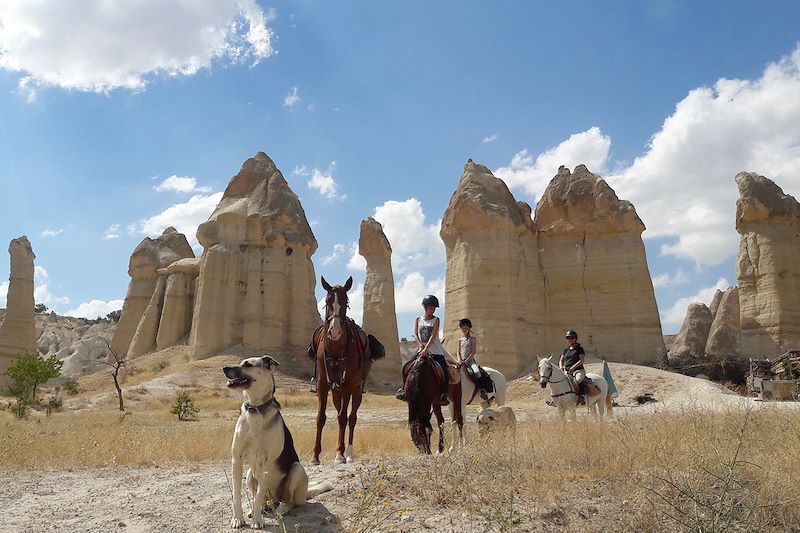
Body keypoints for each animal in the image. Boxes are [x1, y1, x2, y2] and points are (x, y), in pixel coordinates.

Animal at [222, 354, 332, 528]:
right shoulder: (236, 460)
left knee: (289, 501)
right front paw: (238, 519)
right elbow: (237, 493)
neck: (256, 409)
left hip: (296, 469)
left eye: (248, 364)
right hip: (250, 473)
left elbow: (258, 496)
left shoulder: (266, 463)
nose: (224, 368)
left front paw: (257, 521)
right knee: (263, 500)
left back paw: (280, 509)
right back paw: (257, 509)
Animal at [310, 276, 370, 464]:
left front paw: (340, 454)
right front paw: (315, 456)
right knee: (339, 413)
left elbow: (344, 418)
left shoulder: (349, 385)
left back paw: (348, 453)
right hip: (337, 392)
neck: (336, 349)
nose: (335, 332)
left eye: (346, 302)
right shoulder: (322, 384)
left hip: (356, 390)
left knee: (351, 418)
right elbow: (321, 418)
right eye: (327, 301)